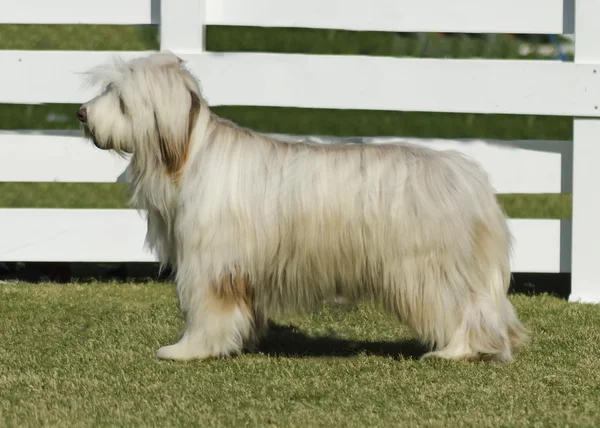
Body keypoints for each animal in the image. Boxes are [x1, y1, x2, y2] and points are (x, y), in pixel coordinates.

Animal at [77, 51, 528, 362]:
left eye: (120, 99)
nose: (80, 113)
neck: (191, 151)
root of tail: (467, 177)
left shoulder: (211, 265)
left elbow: (208, 313)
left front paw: (187, 350)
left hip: (427, 271)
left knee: (465, 310)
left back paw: (455, 351)